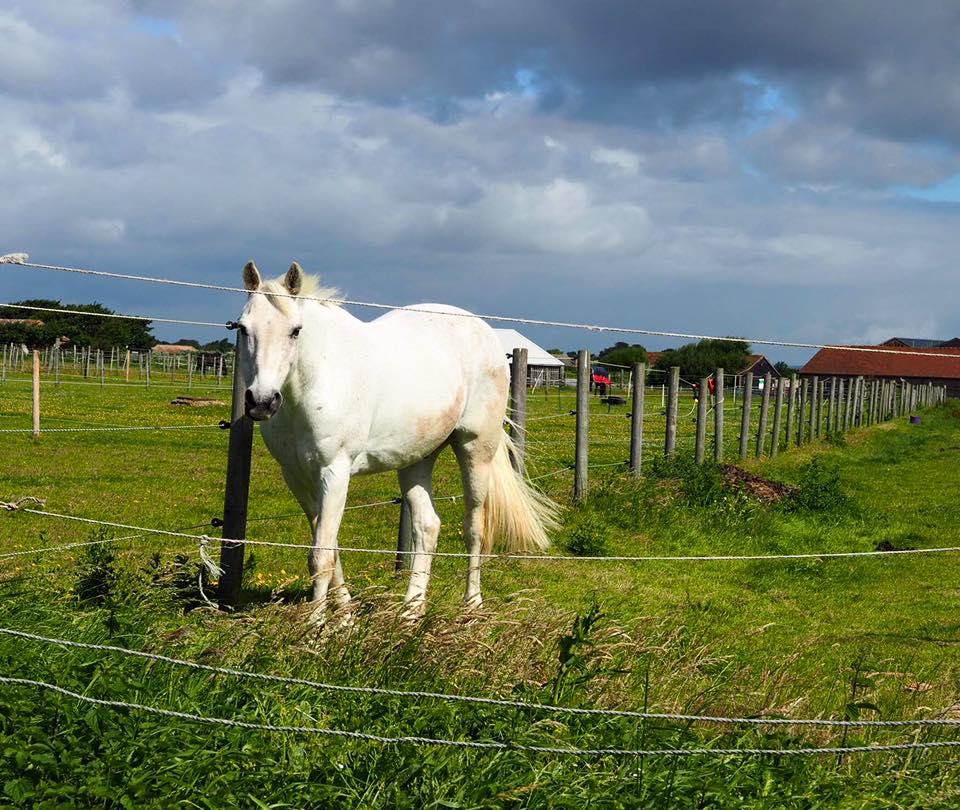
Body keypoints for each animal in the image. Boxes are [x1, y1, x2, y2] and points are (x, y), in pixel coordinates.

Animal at [235, 258, 560, 620]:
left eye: (295, 330)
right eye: (243, 328)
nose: (262, 401)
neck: (318, 381)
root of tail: (487, 336)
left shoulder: (334, 472)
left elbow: (320, 556)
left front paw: (316, 627)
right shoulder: (296, 477)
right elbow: (330, 547)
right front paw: (344, 616)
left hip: (476, 449)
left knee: (474, 526)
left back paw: (471, 605)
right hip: (416, 460)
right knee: (427, 526)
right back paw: (411, 609)